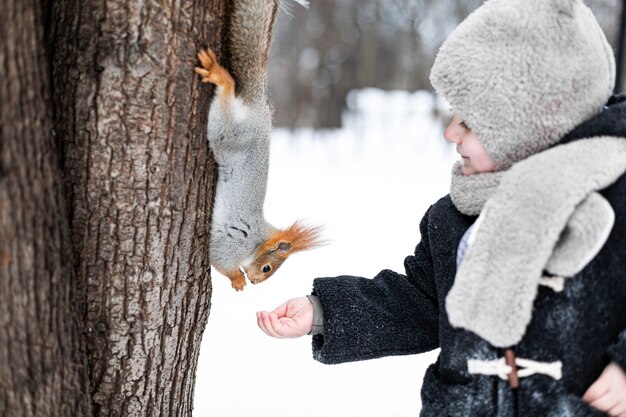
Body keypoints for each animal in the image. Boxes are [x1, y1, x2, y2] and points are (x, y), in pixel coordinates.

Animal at [195, 0, 320, 290]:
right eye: (267, 268)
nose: (255, 283)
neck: (258, 240)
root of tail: (259, 109)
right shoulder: (233, 242)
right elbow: (219, 259)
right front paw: (237, 279)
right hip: (229, 133)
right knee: (228, 92)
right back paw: (220, 76)